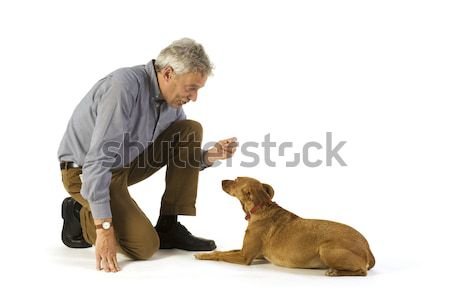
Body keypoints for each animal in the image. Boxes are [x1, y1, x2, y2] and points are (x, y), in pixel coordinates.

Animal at [195, 176, 374, 276]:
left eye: (236, 180)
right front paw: (206, 253)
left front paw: (203, 256)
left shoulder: (245, 257)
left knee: (362, 271)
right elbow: (224, 251)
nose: (222, 181)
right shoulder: (252, 253)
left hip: (326, 248)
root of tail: (368, 248)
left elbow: (221, 255)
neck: (260, 208)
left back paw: (335, 272)